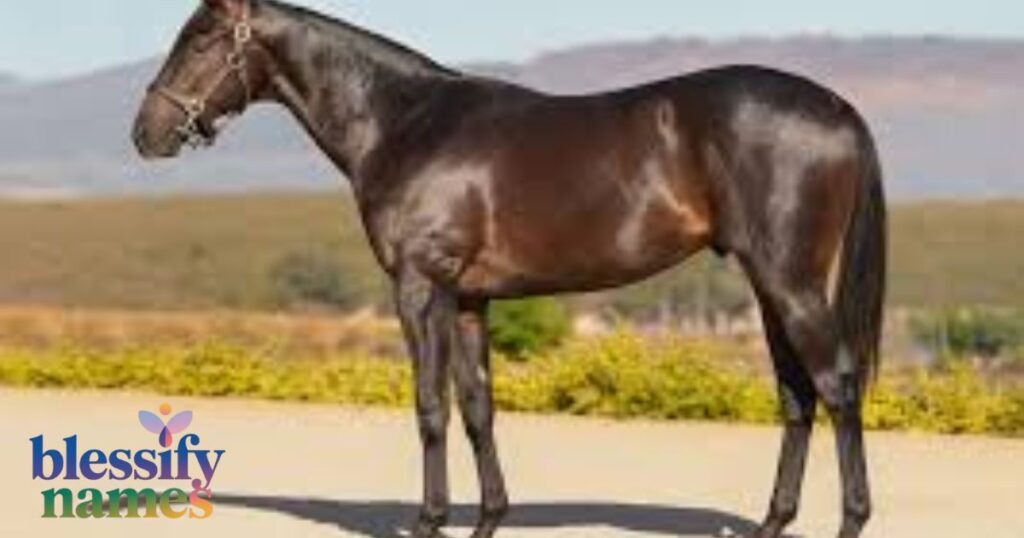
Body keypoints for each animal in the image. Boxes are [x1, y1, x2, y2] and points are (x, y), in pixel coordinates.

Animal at [132, 1, 887, 537]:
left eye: (202, 38)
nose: (145, 134)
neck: (405, 123)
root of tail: (839, 109)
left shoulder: (420, 288)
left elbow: (430, 405)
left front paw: (430, 520)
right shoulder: (470, 299)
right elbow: (477, 405)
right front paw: (488, 519)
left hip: (790, 285)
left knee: (837, 388)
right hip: (770, 287)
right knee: (797, 397)